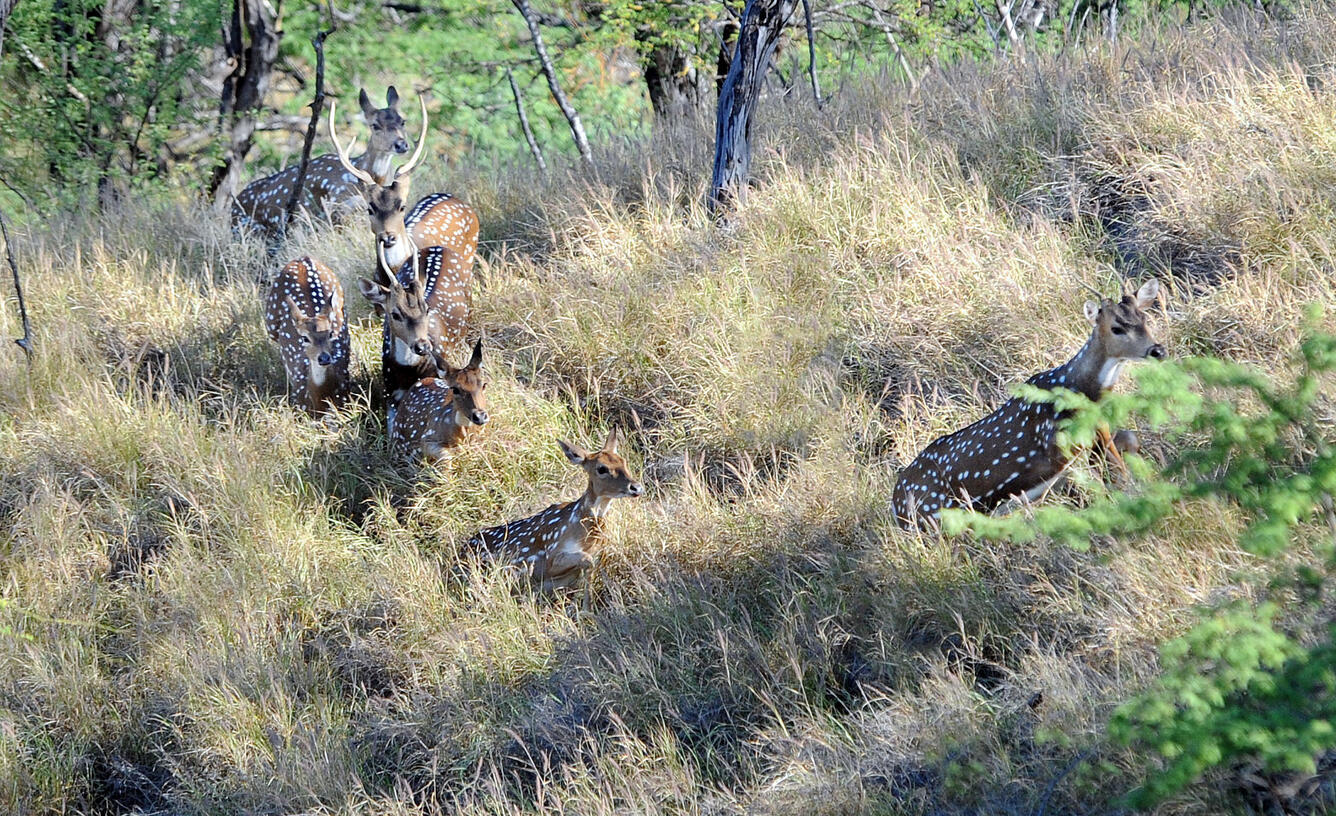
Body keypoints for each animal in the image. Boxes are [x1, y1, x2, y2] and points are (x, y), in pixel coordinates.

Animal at [359, 242, 473, 418]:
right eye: (394, 314)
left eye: (427, 309)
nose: (422, 346)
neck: (409, 372)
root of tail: (437, 247)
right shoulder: (390, 392)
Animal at [892, 279, 1166, 529]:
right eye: (1116, 328)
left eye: (1144, 317)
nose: (1158, 351)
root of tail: (895, 507)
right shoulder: (1058, 446)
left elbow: (1126, 443)